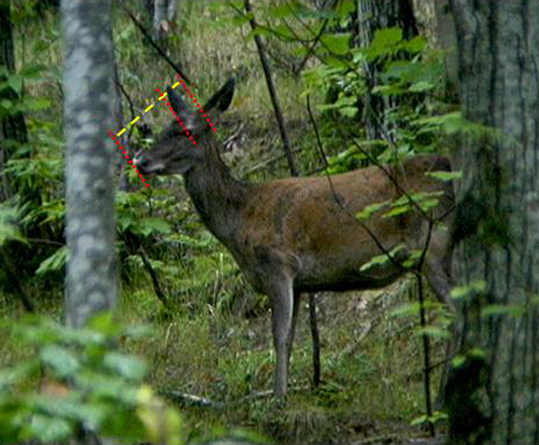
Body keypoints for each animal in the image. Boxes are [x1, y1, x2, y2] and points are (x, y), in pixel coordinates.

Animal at [134, 78, 456, 398]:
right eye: (163, 128)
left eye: (183, 131)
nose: (140, 160)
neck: (240, 219)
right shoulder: (300, 283)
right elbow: (289, 341)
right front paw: (282, 393)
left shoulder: (279, 264)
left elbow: (278, 338)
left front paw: (277, 399)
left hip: (433, 244)